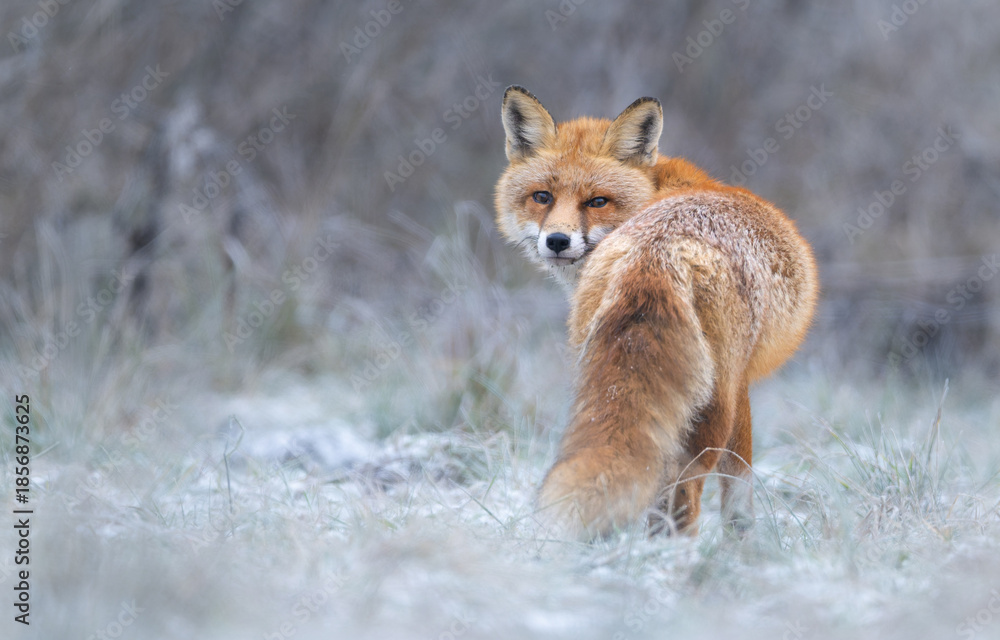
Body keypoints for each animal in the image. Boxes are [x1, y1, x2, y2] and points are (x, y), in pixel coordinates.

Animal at [494, 86, 818, 540]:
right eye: (543, 197)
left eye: (597, 201)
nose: (557, 240)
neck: (658, 193)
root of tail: (657, 250)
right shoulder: (742, 384)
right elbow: (739, 486)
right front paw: (745, 545)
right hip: (712, 401)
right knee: (684, 489)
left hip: (594, 374)